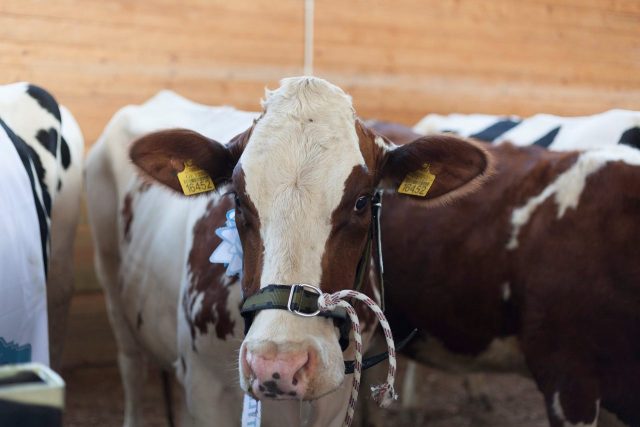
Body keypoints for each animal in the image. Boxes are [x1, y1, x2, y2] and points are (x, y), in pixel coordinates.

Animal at [87, 77, 491, 426]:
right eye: (237, 197)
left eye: (362, 201)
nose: (277, 363)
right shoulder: (206, 393)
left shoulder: (337, 396)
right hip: (110, 283)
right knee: (131, 368)